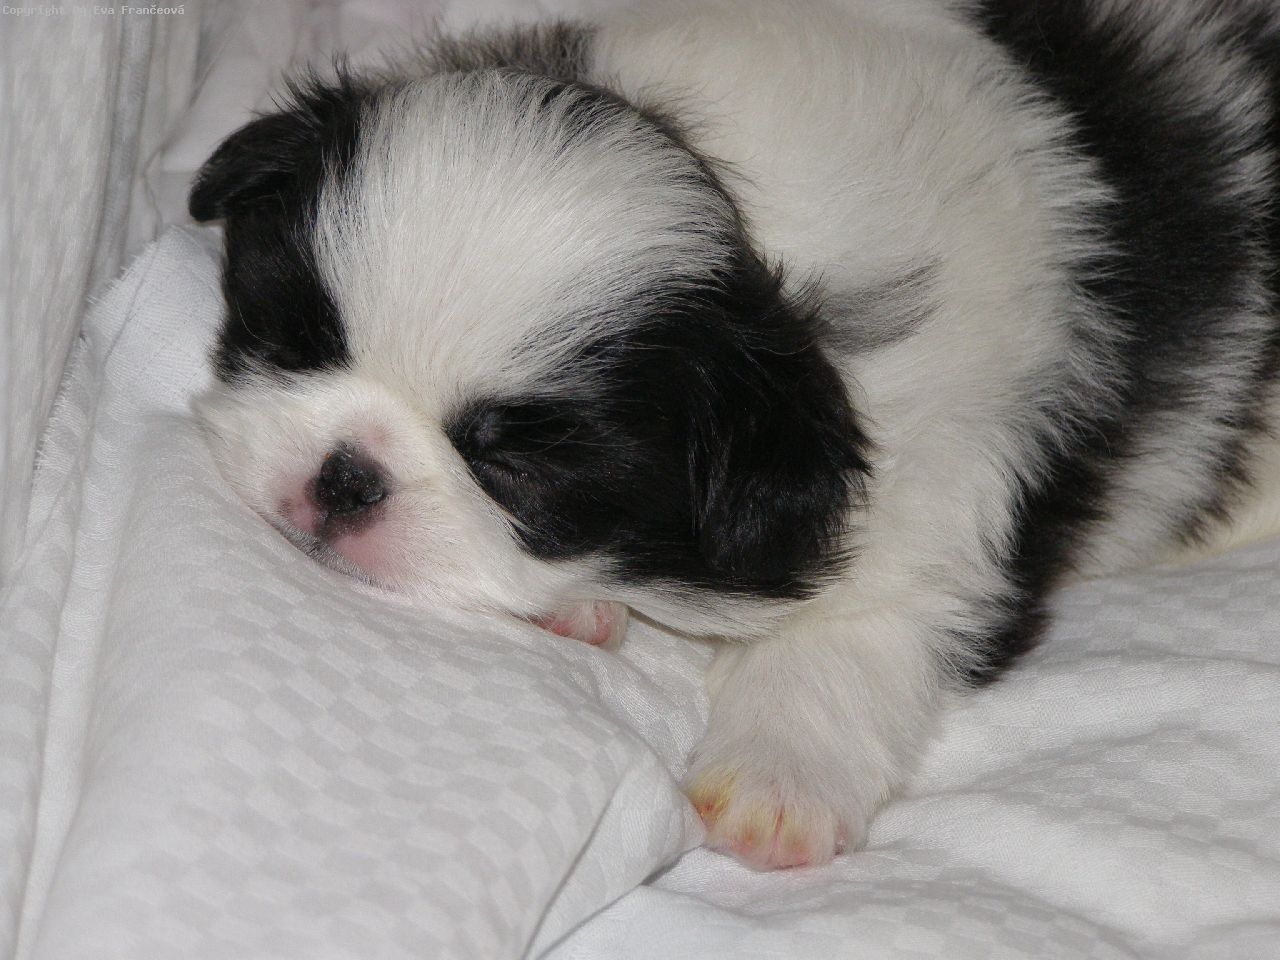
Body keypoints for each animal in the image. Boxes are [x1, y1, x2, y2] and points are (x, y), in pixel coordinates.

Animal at [190, 0, 1280, 869]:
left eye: (512, 464)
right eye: (297, 340)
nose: (344, 477)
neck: (742, 223)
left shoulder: (951, 495)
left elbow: (851, 639)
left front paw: (775, 781)